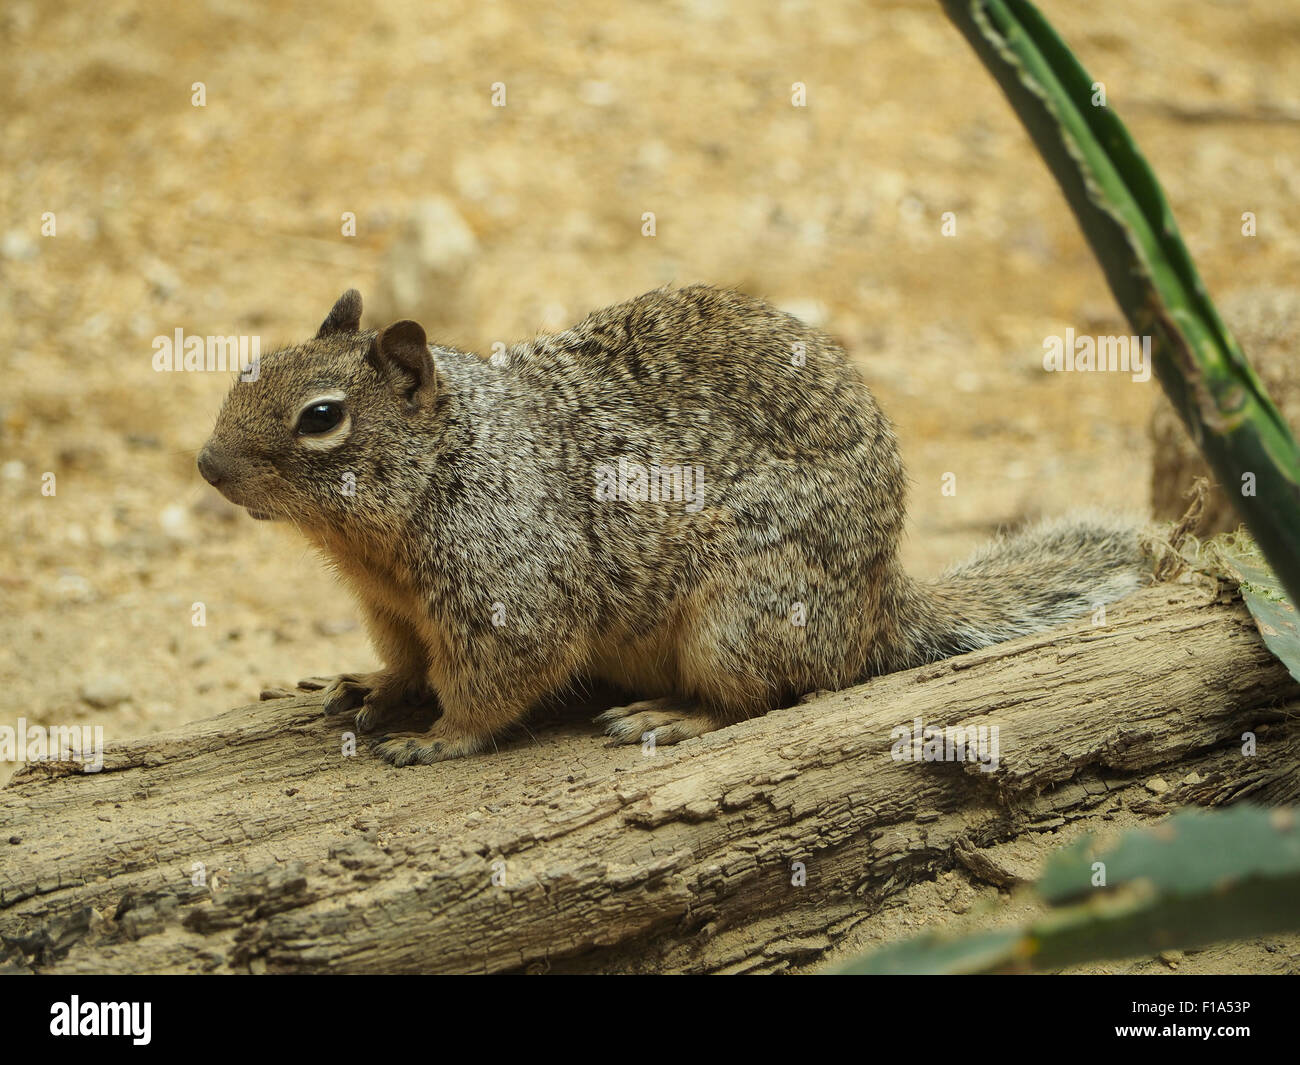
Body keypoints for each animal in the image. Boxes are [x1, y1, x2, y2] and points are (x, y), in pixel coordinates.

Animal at [198, 285, 1145, 765]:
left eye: (322, 416)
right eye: (255, 365)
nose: (207, 465)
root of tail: (879, 597)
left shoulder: (511, 592)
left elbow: (494, 681)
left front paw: (438, 738)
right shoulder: (391, 607)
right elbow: (403, 659)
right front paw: (373, 686)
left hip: (738, 617)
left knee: (767, 699)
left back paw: (671, 716)